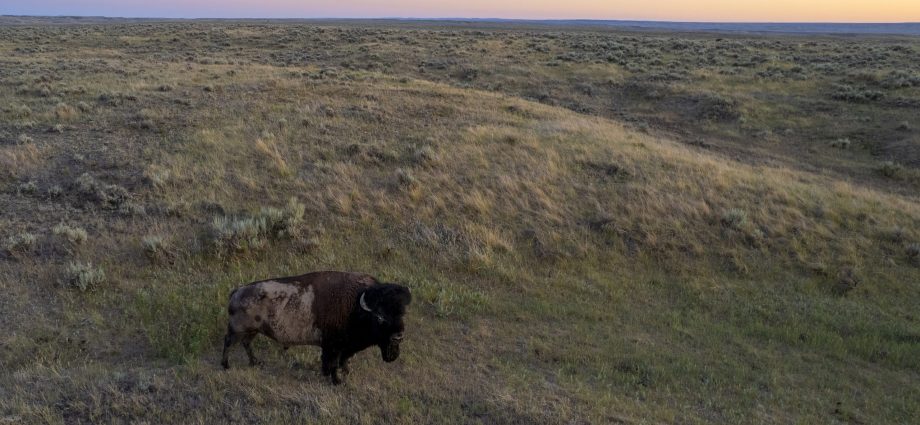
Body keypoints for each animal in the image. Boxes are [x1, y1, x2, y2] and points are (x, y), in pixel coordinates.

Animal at [221, 271, 412, 384]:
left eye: (402, 313)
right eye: (380, 317)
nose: (398, 336)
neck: (356, 305)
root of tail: (236, 291)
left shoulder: (343, 347)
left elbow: (343, 360)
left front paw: (344, 372)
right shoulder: (333, 346)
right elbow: (333, 362)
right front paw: (336, 380)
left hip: (252, 331)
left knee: (246, 344)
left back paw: (255, 362)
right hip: (238, 330)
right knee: (228, 343)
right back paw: (226, 365)